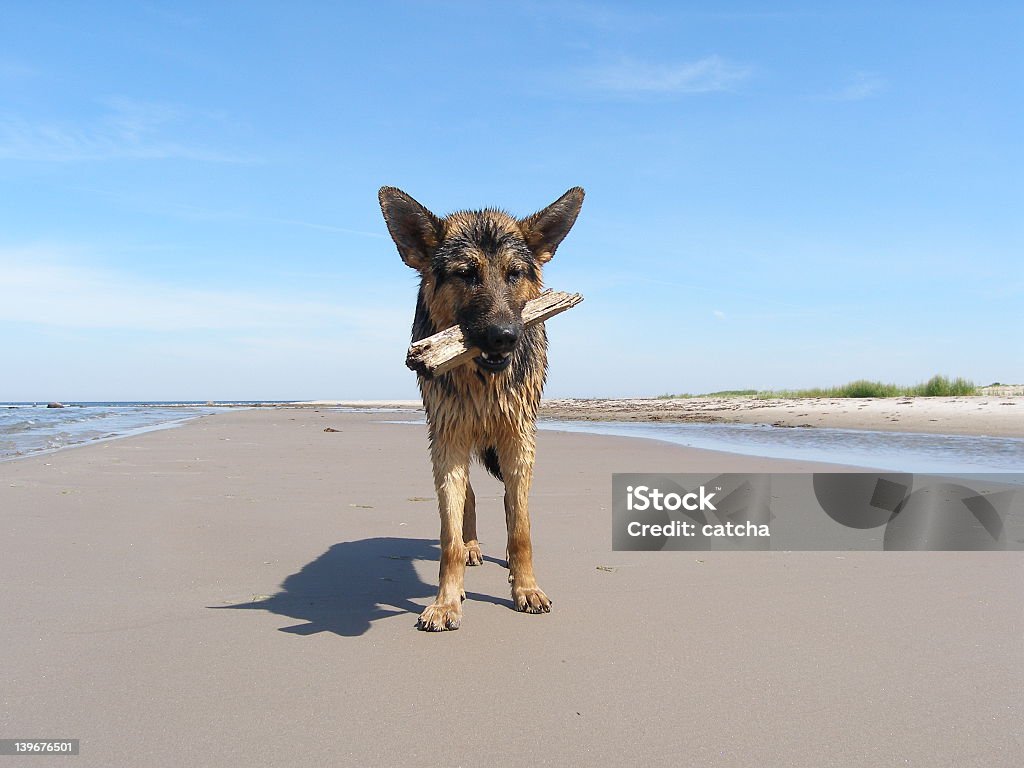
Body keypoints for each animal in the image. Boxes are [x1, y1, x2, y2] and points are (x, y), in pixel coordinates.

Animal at [376, 186, 585, 630]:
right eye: (466, 273)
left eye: (514, 274)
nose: (504, 336)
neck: (482, 382)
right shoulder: (448, 441)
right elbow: (448, 538)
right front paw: (446, 601)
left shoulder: (518, 440)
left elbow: (521, 527)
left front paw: (526, 588)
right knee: (468, 497)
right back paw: (472, 548)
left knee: (509, 501)